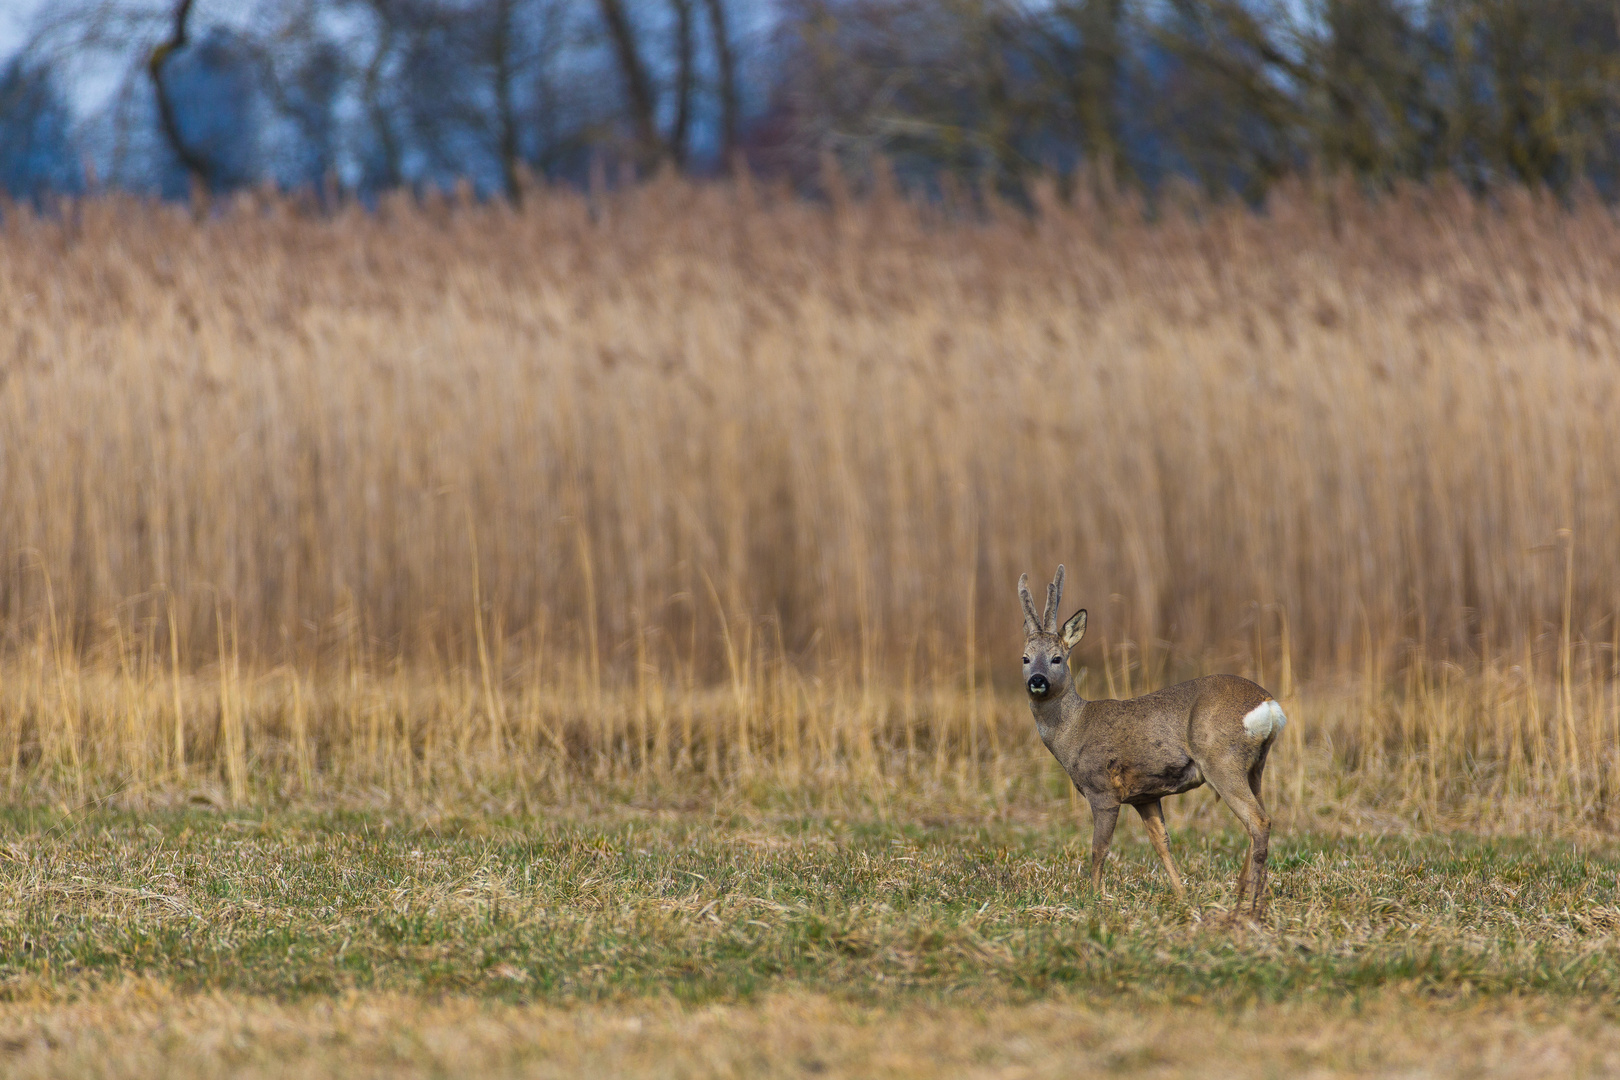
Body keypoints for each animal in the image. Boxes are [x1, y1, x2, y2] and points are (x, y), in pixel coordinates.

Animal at [1017, 566, 1283, 913]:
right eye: (1025, 658)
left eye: (1057, 658)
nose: (1037, 680)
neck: (1075, 729)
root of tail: (1268, 703)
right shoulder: (1144, 795)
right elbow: (1162, 843)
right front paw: (1182, 895)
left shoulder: (1102, 790)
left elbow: (1099, 847)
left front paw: (1093, 898)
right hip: (1256, 766)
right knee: (1260, 820)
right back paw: (1247, 894)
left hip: (1222, 760)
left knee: (1258, 821)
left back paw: (1247, 904)